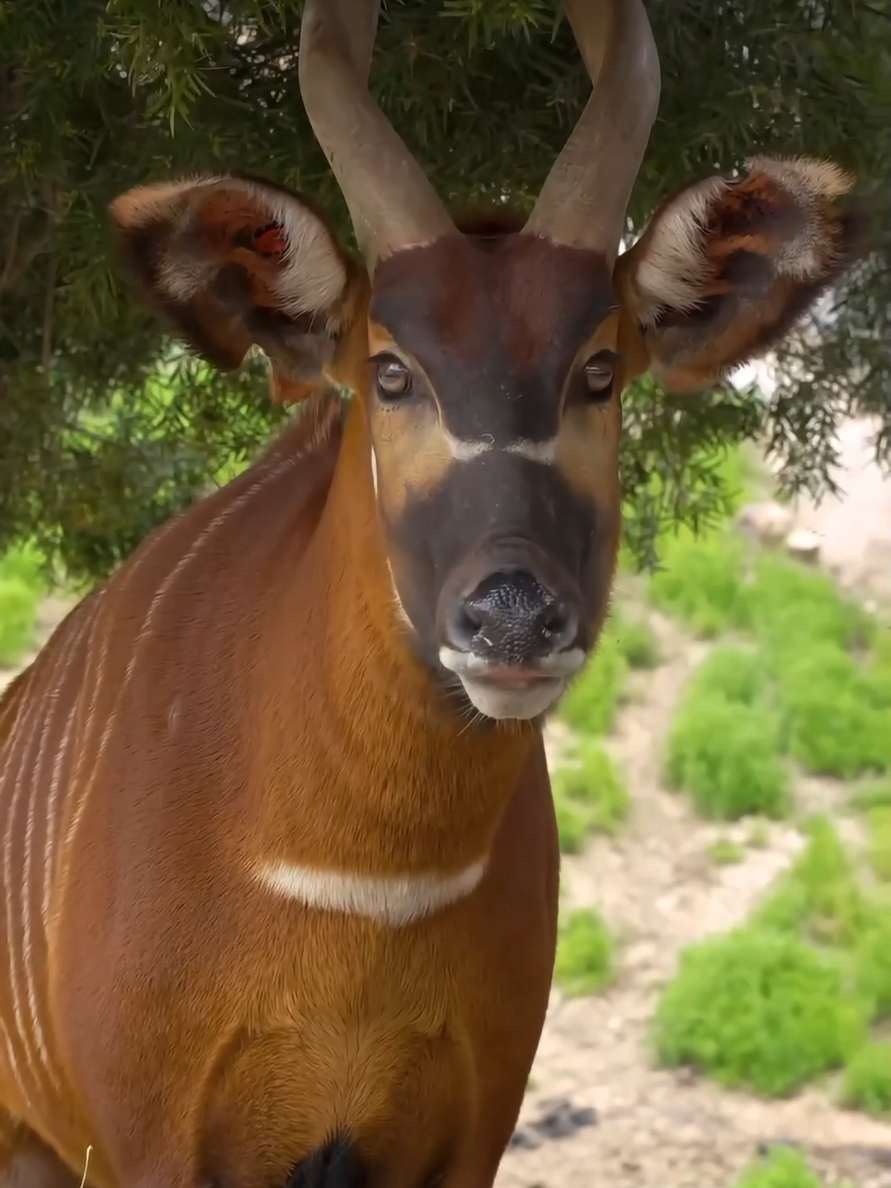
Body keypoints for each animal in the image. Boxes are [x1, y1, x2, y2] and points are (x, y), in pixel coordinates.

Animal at [0, 0, 868, 1186]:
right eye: (390, 369)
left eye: (600, 369)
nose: (512, 616)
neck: (368, 880)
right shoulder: (145, 1138)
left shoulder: (475, 1127)